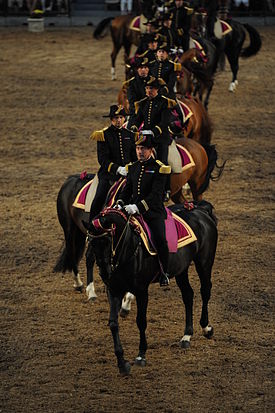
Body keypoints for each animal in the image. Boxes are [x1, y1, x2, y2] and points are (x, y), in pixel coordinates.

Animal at [87, 201, 219, 374]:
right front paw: (122, 363)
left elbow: (141, 321)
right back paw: (187, 336)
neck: (128, 247)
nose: (104, 273)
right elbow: (113, 324)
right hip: (181, 269)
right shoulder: (114, 290)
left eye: (109, 240)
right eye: (91, 241)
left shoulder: (142, 291)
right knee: (188, 295)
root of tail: (200, 210)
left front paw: (141, 355)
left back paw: (206, 328)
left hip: (204, 263)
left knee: (205, 291)